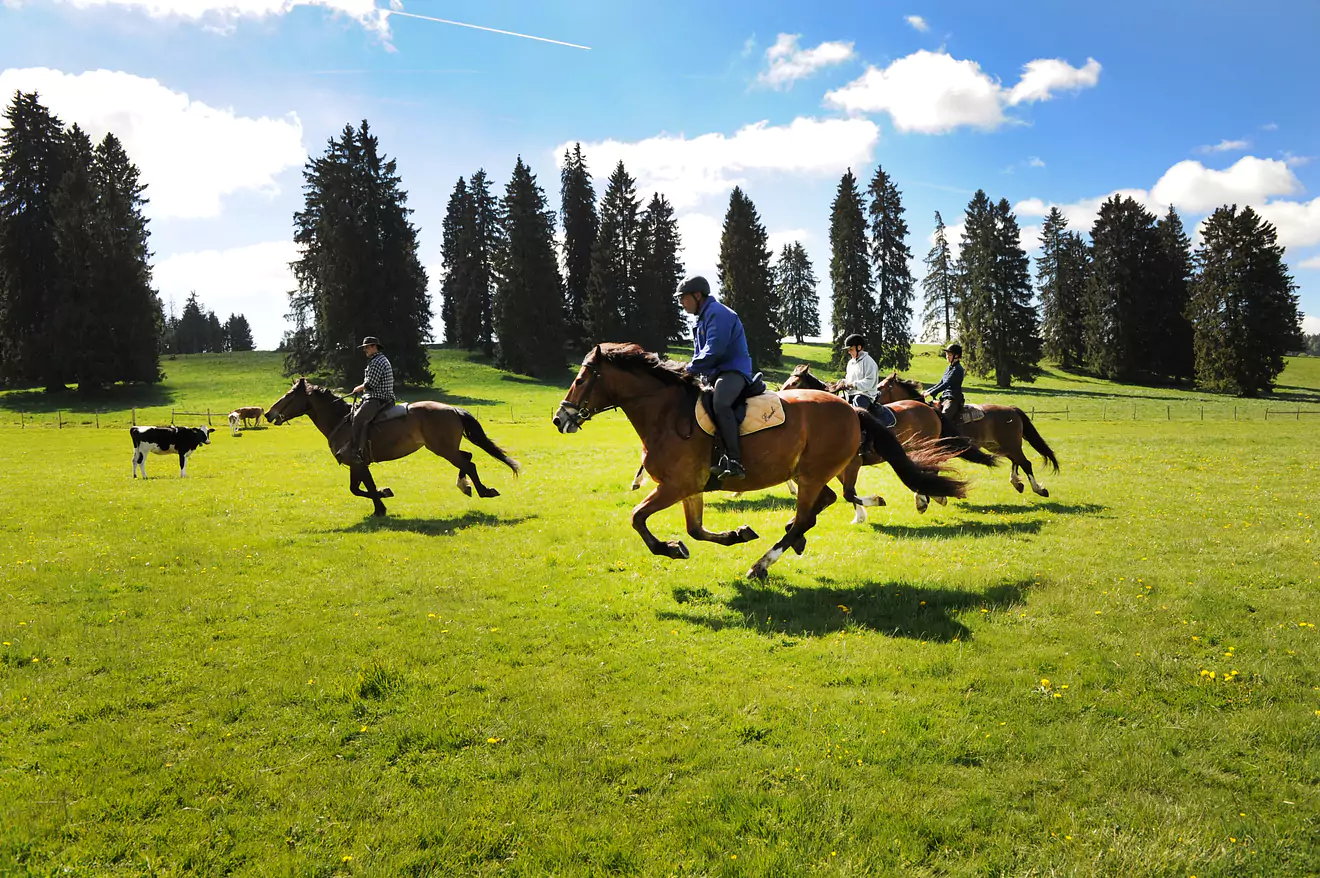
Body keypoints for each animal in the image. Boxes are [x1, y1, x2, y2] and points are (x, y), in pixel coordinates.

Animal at [264, 377, 520, 514]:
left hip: (443, 450)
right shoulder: (355, 465)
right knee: (467, 458)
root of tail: (452, 409)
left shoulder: (358, 462)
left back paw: (483, 491)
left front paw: (381, 504)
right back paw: (466, 486)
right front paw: (383, 497)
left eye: (289, 396)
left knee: (469, 464)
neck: (341, 420)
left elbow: (364, 487)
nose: (268, 413)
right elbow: (357, 488)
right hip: (447, 449)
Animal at [551, 343, 966, 580]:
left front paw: (668, 548)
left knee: (812, 511)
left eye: (583, 378)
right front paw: (735, 534)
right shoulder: (690, 487)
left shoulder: (675, 485)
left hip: (816, 472)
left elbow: (638, 517)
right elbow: (695, 530)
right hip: (813, 472)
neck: (667, 413)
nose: (560, 418)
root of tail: (851, 410)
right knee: (822, 505)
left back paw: (762, 563)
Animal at [776, 361, 992, 517]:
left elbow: (849, 493)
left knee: (933, 468)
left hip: (926, 446)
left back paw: (927, 498)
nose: (780, 398)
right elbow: (849, 492)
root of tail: (930, 409)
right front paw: (860, 516)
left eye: (794, 383)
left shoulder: (853, 463)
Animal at [876, 367, 1061, 493]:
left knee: (1025, 462)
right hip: (998, 446)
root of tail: (1011, 409)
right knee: (1016, 461)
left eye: (880, 388)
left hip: (1011, 443)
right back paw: (1017, 483)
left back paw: (1038, 489)